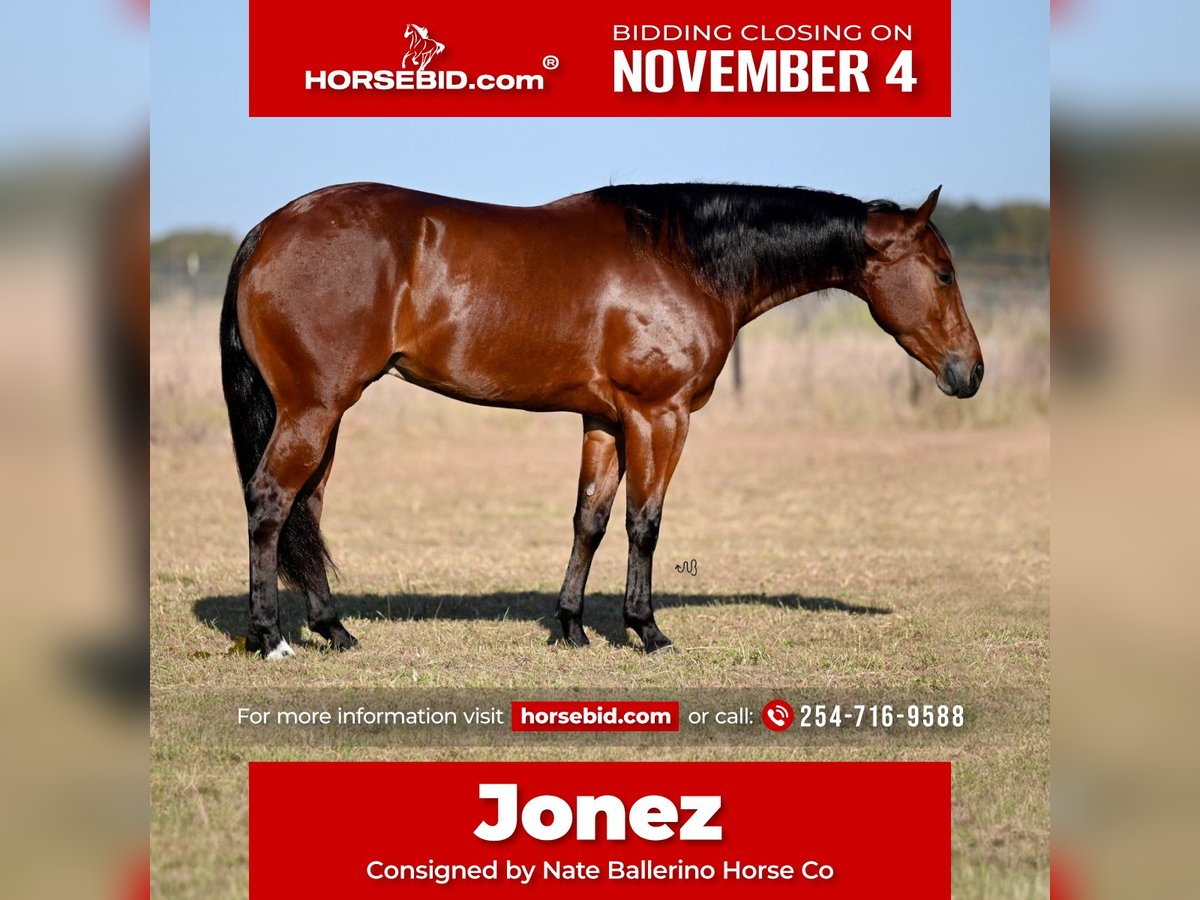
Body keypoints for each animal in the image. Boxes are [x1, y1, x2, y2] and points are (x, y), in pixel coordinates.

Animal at [218, 184, 984, 662]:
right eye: (944, 274)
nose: (970, 372)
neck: (685, 258)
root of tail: (270, 229)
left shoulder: (604, 421)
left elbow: (589, 519)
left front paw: (570, 628)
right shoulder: (658, 415)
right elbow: (644, 523)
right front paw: (647, 630)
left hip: (323, 416)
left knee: (307, 509)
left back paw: (335, 631)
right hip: (314, 409)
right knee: (270, 502)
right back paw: (272, 638)